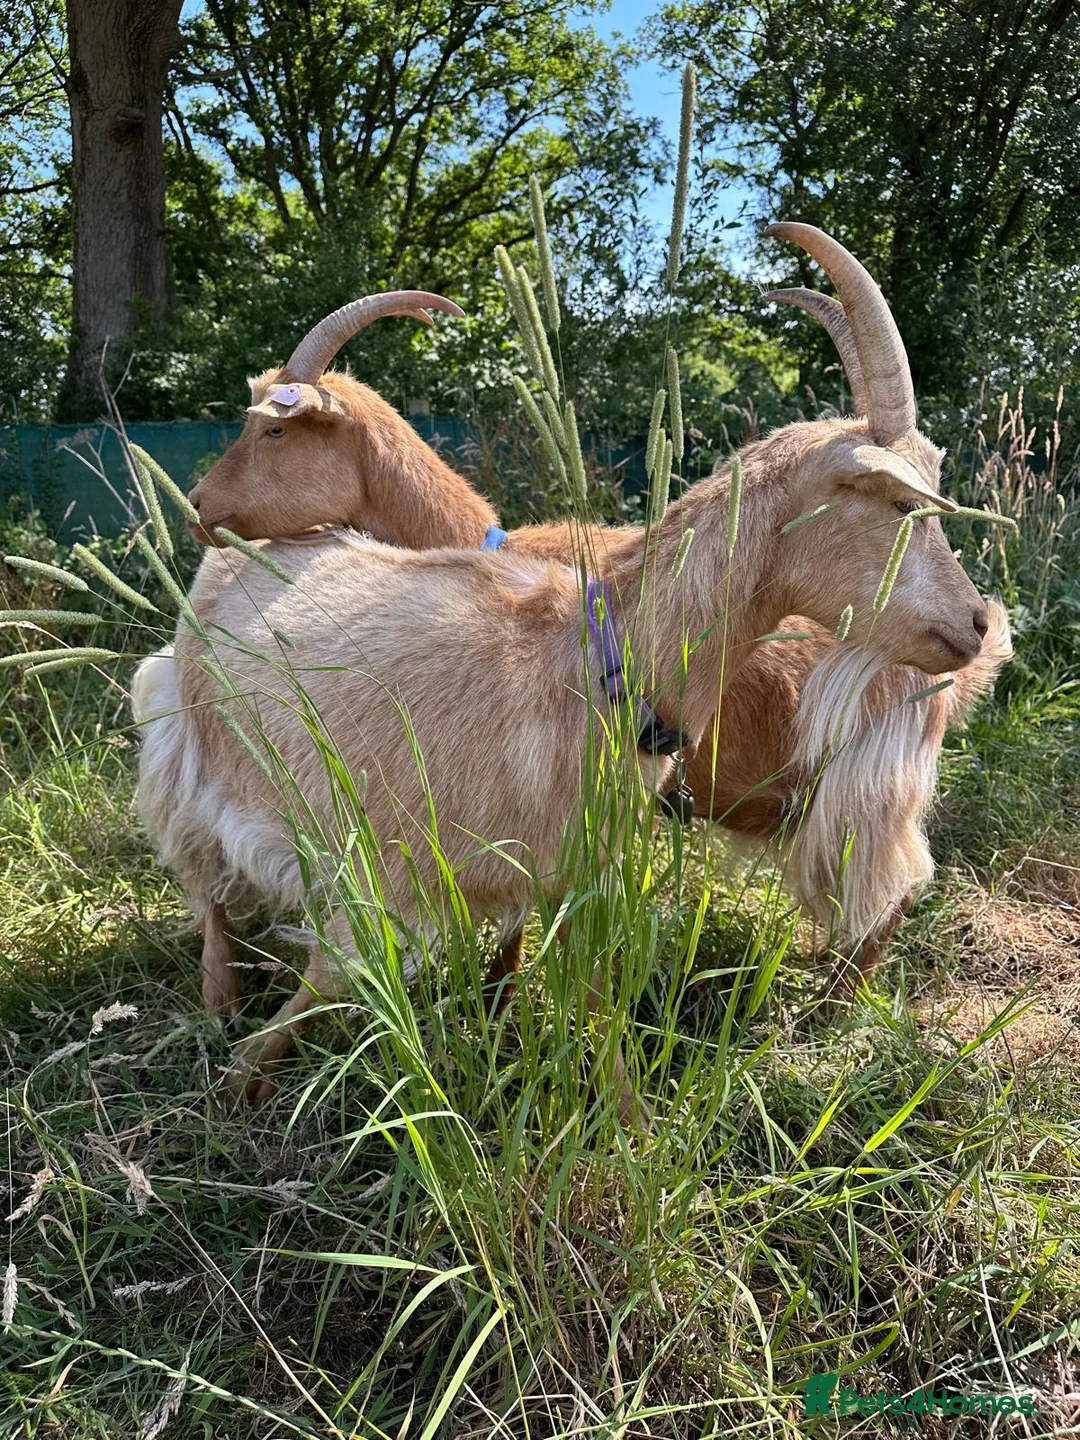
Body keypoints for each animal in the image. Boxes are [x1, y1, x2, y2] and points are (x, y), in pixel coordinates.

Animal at [134, 223, 1003, 1104]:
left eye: (273, 429)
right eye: (901, 502)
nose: (973, 621)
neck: (593, 656)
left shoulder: (572, 869)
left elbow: (584, 995)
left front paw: (623, 1115)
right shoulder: (399, 851)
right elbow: (342, 969)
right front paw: (243, 1073)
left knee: (890, 895)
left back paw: (827, 1013)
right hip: (185, 740)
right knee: (200, 870)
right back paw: (220, 993)